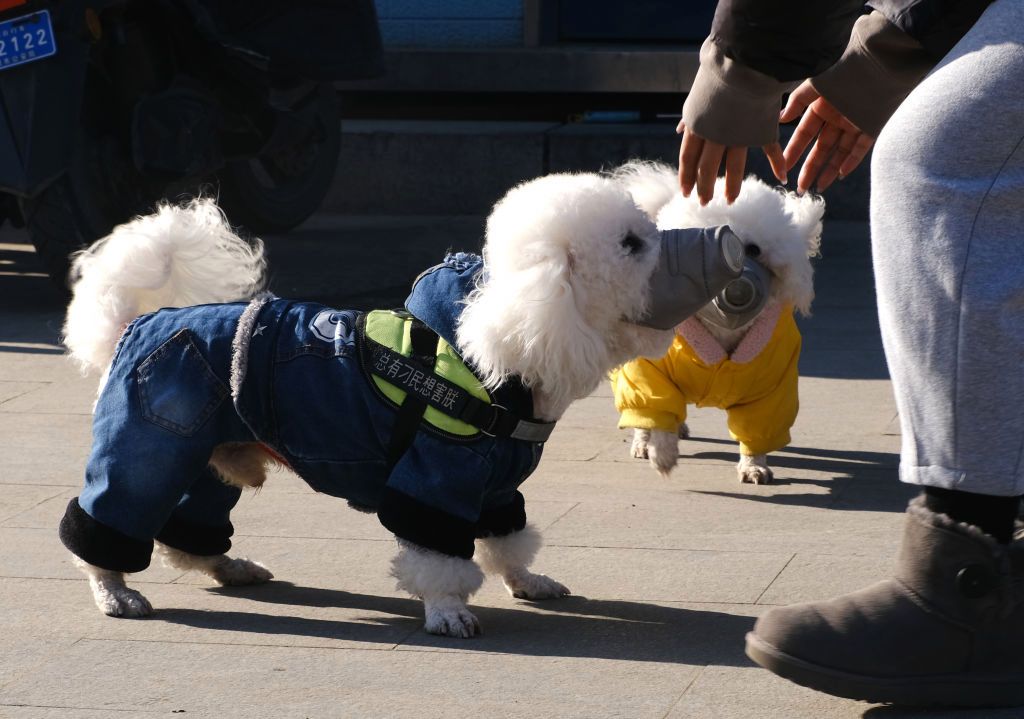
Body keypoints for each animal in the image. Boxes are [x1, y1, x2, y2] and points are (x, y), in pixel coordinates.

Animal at [606, 163, 823, 483]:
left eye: (754, 249)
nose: (738, 285)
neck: (721, 331)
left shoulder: (771, 385)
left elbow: (758, 427)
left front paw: (754, 466)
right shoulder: (650, 372)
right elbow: (653, 408)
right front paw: (662, 454)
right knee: (642, 411)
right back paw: (645, 442)